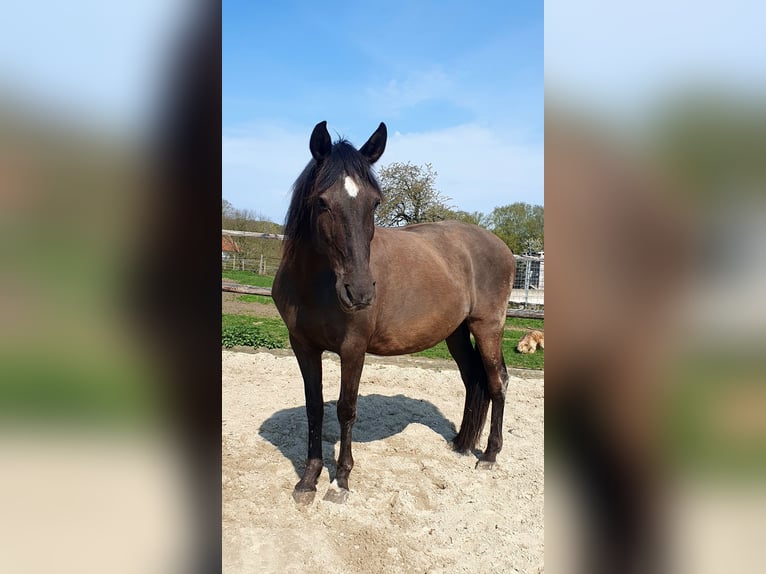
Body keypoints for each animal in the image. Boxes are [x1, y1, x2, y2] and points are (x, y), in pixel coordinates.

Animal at [272, 121, 516, 504]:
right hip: (456, 332)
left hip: (488, 326)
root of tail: (501, 247)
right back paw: (462, 444)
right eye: (322, 202)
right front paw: (308, 481)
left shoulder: (353, 349)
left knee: (497, 381)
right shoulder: (303, 346)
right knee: (473, 378)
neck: (314, 284)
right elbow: (314, 408)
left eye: (374, 203)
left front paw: (340, 482)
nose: (359, 292)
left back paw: (489, 455)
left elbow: (346, 409)